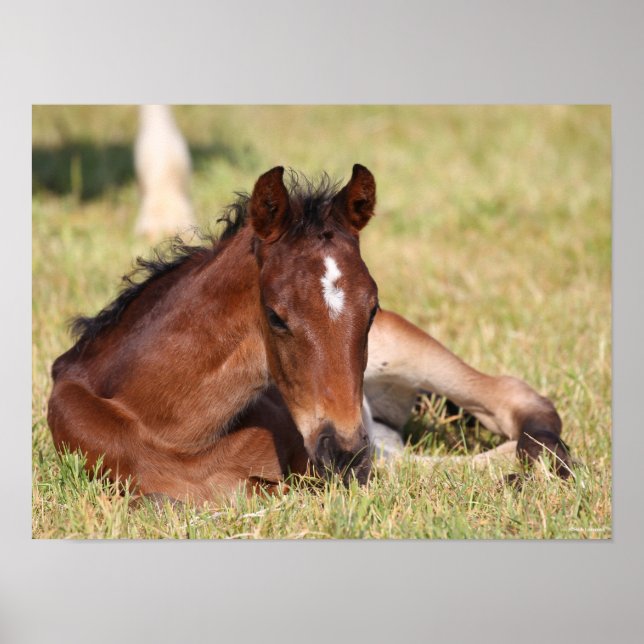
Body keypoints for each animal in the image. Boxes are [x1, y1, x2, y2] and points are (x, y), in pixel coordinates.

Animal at [47, 164, 571, 504]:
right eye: (276, 316)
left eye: (372, 308)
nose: (342, 453)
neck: (167, 427)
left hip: (407, 354)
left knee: (514, 399)